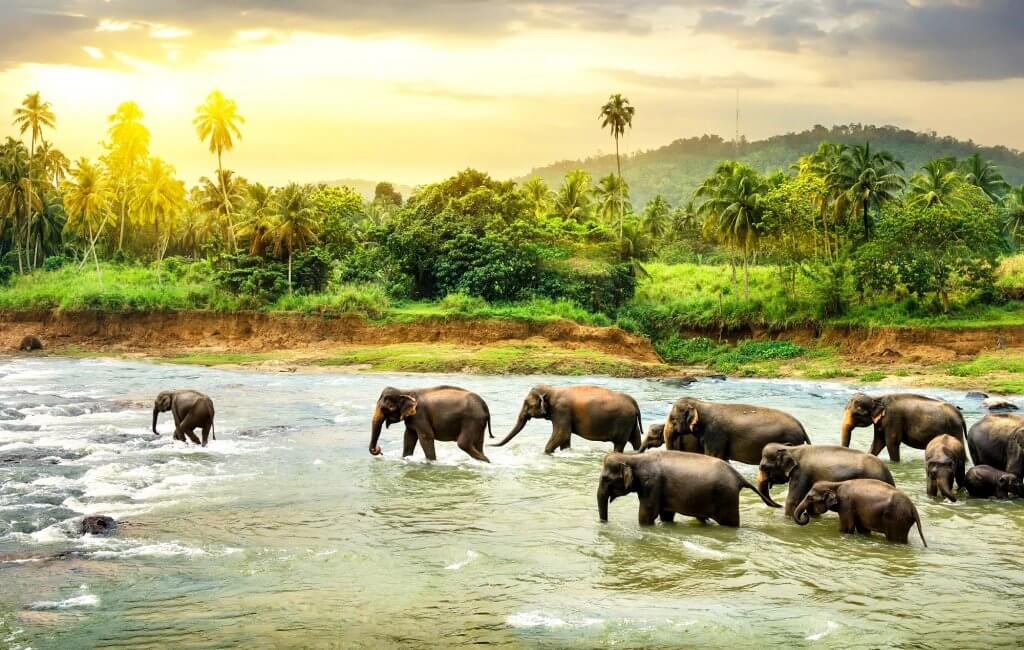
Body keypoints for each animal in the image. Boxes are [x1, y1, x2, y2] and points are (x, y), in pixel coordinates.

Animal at [489, 384, 638, 454]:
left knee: (619, 444)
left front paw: (546, 453)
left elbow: (562, 434)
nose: (489, 443)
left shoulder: (561, 411)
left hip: (624, 422)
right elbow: (565, 439)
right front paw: (565, 452)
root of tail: (633, 401)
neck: (551, 390)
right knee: (635, 440)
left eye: (526, 404)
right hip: (631, 423)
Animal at [598, 450, 778, 528]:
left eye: (606, 479)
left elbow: (647, 514)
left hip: (726, 497)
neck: (632, 457)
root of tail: (739, 477)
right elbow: (666, 514)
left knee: (730, 523)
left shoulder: (651, 484)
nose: (604, 523)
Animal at [643, 395, 811, 464]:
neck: (700, 404)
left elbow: (713, 456)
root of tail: (801, 426)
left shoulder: (715, 434)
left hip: (791, 440)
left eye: (673, 419)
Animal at [790, 481, 929, 548]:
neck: (835, 484)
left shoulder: (846, 504)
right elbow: (863, 530)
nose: (806, 515)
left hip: (897, 519)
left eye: (809, 498)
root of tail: (913, 507)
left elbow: (846, 529)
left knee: (895, 539)